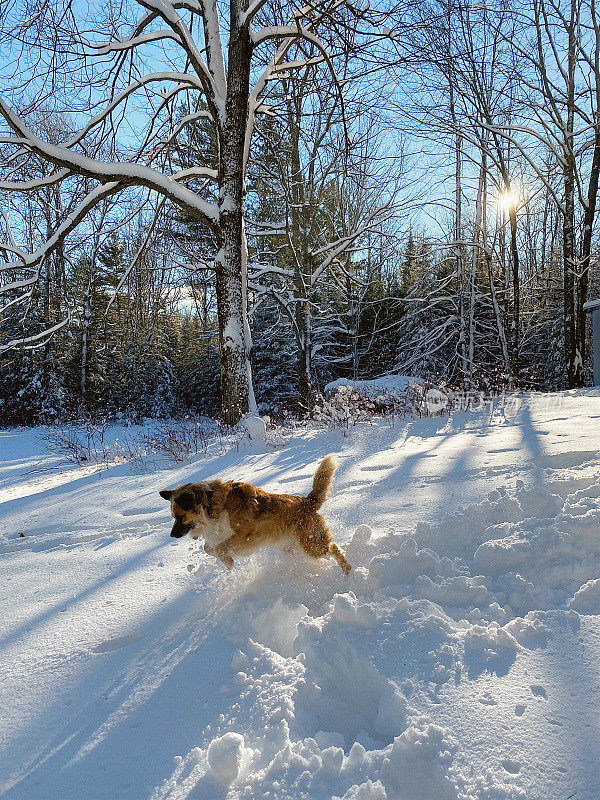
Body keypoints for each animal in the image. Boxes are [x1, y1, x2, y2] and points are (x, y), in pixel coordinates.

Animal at [159, 456, 350, 576]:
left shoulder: (246, 536)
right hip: (290, 546)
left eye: (179, 516)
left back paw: (348, 572)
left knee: (334, 548)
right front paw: (224, 559)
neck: (212, 505)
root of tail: (307, 501)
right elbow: (209, 548)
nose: (172, 535)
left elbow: (220, 548)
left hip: (311, 545)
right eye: (173, 516)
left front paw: (228, 562)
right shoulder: (219, 535)